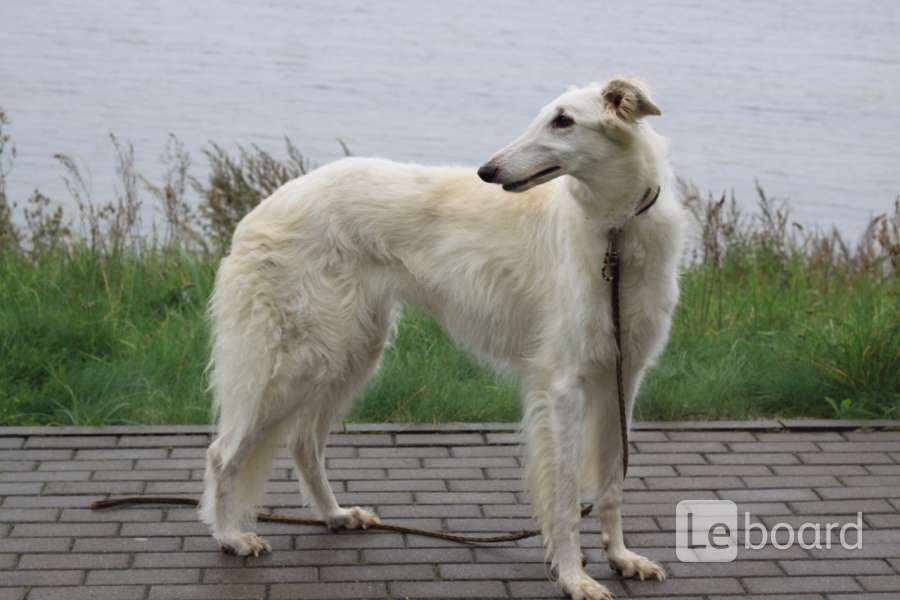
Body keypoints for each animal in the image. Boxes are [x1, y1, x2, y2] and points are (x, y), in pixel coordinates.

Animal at [200, 79, 684, 600]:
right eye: (546, 118)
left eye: (564, 121)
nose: (487, 171)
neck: (615, 231)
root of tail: (260, 211)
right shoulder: (562, 385)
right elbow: (566, 494)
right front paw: (575, 577)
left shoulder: (623, 377)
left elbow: (612, 483)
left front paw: (622, 558)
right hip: (299, 359)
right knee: (223, 452)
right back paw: (230, 536)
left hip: (350, 351)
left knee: (303, 442)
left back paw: (335, 515)